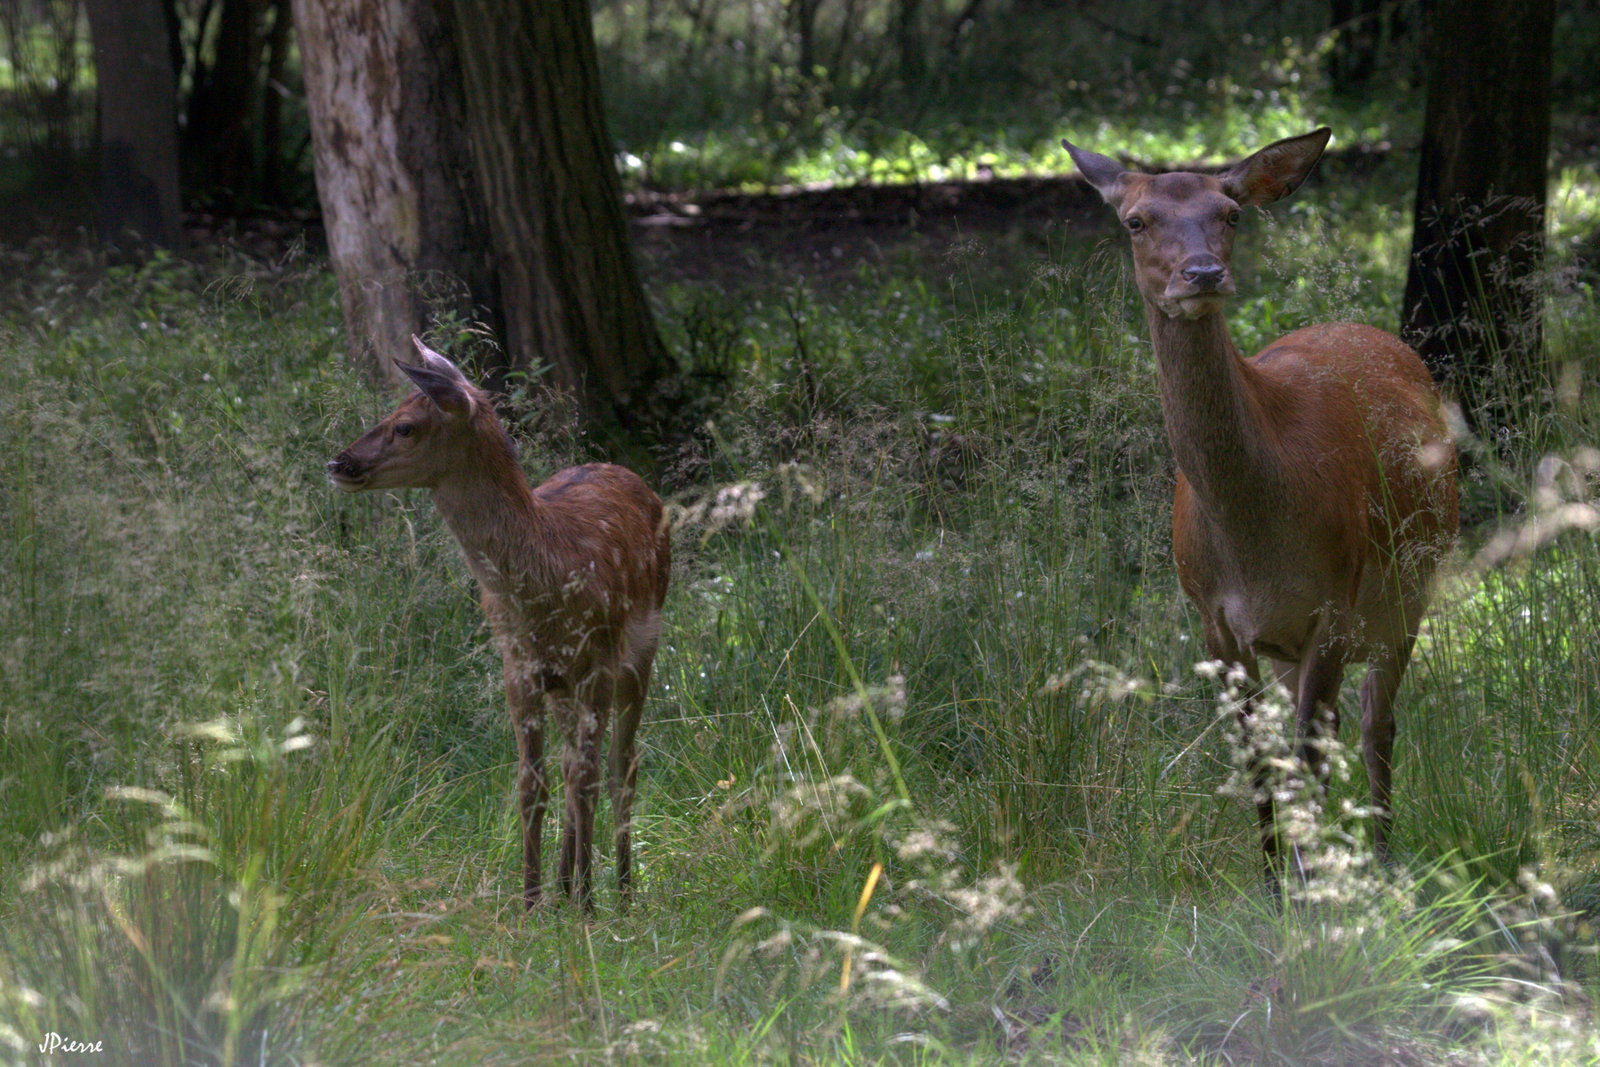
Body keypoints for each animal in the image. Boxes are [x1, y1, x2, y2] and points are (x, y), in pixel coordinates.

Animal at [331, 340, 668, 908]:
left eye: (406, 426)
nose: (338, 462)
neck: (546, 577)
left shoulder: (599, 655)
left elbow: (590, 777)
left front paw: (588, 905)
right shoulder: (518, 665)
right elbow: (531, 784)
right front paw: (532, 902)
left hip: (640, 653)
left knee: (622, 766)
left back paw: (619, 891)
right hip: (563, 685)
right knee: (571, 763)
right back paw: (566, 883)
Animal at [1068, 129, 1459, 883]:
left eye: (1231, 214)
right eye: (1135, 220)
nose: (1201, 273)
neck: (1255, 538)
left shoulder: (1335, 601)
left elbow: (1307, 756)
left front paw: (1313, 885)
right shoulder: (1215, 618)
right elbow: (1257, 762)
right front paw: (1278, 884)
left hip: (1409, 589)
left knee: (1374, 723)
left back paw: (1380, 855)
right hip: (1295, 642)